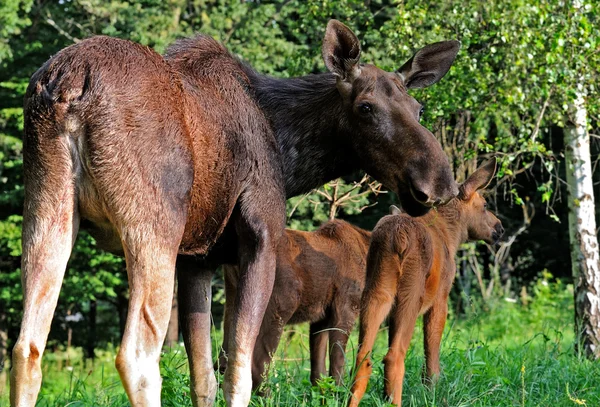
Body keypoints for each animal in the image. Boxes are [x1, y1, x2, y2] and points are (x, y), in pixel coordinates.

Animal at [219, 220, 370, 392]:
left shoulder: (320, 317)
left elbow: (318, 366)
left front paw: (321, 392)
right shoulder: (346, 306)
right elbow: (338, 358)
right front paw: (339, 391)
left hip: (232, 298)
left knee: (224, 359)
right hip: (281, 304)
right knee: (257, 364)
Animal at [350, 161, 504, 406]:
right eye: (485, 204)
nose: (500, 228)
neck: (452, 234)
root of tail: (397, 238)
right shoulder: (441, 297)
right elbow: (432, 351)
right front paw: (432, 390)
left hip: (377, 290)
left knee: (363, 355)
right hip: (410, 295)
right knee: (394, 356)